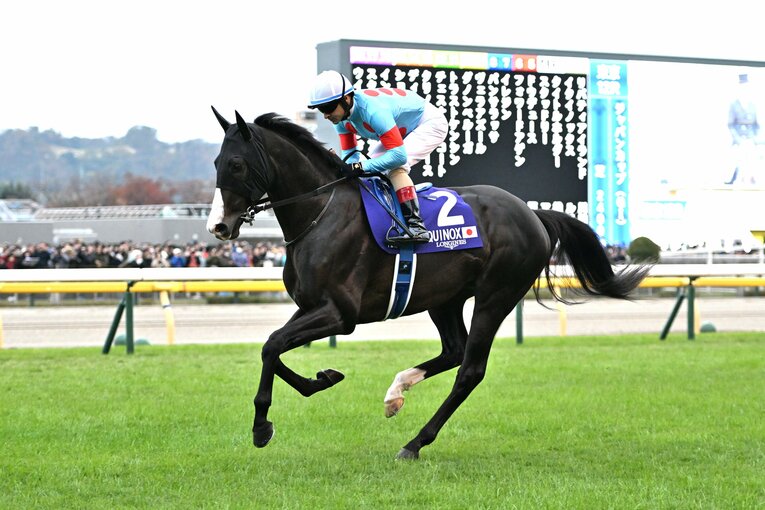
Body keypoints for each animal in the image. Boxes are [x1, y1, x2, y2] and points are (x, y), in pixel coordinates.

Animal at [206, 108, 649, 460]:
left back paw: (415, 442)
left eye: (237, 165)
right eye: (216, 162)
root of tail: (532, 213)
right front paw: (322, 379)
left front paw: (262, 427)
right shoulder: (310, 306)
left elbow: (272, 346)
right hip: (444, 297)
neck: (322, 212)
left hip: (496, 295)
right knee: (454, 350)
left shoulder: (340, 314)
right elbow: (274, 347)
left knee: (470, 369)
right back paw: (396, 392)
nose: (219, 227)